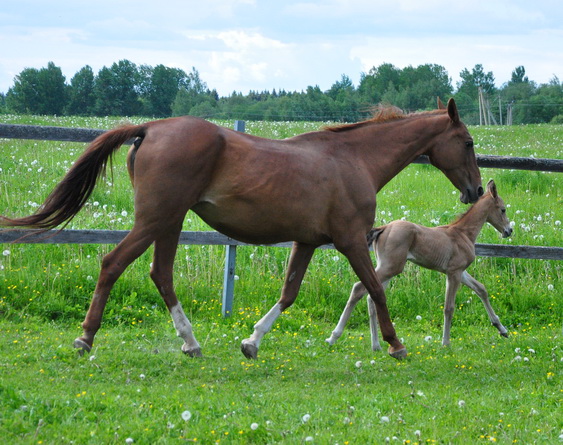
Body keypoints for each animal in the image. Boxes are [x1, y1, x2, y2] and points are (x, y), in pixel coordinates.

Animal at [0, 98, 482, 360]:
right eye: (468, 142)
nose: (475, 190)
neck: (353, 160)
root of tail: (150, 127)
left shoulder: (308, 242)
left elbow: (289, 294)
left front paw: (252, 341)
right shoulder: (350, 240)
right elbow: (376, 289)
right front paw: (396, 345)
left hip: (170, 222)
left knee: (161, 274)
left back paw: (191, 343)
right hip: (156, 219)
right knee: (113, 262)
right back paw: (85, 338)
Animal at [326, 180, 512, 350]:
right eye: (503, 209)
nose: (509, 231)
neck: (463, 233)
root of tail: (384, 228)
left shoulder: (461, 272)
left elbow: (481, 289)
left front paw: (502, 329)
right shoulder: (454, 273)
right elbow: (449, 308)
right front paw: (445, 343)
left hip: (386, 268)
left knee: (372, 296)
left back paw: (376, 345)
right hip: (390, 267)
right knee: (358, 288)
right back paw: (333, 337)